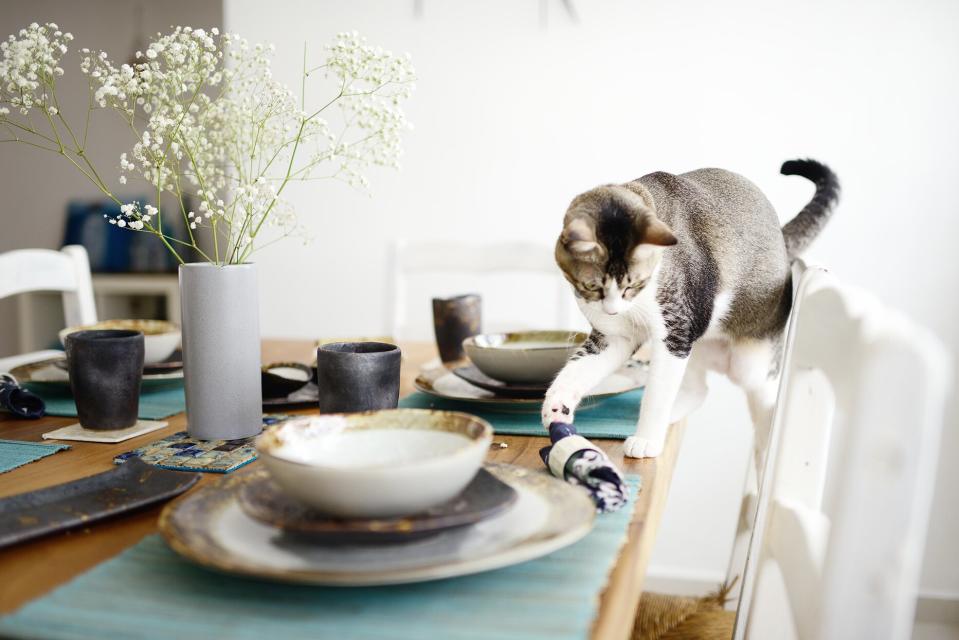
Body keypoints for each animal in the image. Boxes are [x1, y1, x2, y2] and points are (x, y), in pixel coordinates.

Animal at [544, 160, 844, 460]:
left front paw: (646, 440)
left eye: (634, 284)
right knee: (699, 390)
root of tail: (782, 240)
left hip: (748, 363)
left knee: (765, 397)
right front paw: (556, 410)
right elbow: (573, 374)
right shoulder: (616, 337)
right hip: (697, 345)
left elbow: (656, 396)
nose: (613, 310)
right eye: (592, 287)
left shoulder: (675, 333)